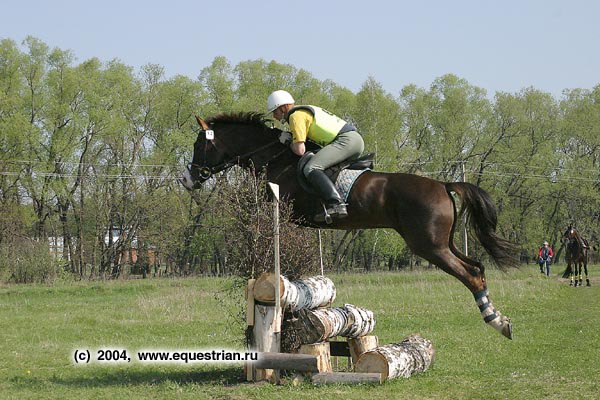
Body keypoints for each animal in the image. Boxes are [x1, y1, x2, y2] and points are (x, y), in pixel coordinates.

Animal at [180, 111, 516, 340]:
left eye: (199, 145)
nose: (186, 180)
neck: (275, 158)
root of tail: (444, 185)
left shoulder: (283, 212)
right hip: (444, 243)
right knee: (477, 267)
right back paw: (499, 318)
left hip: (429, 245)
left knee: (470, 274)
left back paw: (497, 322)